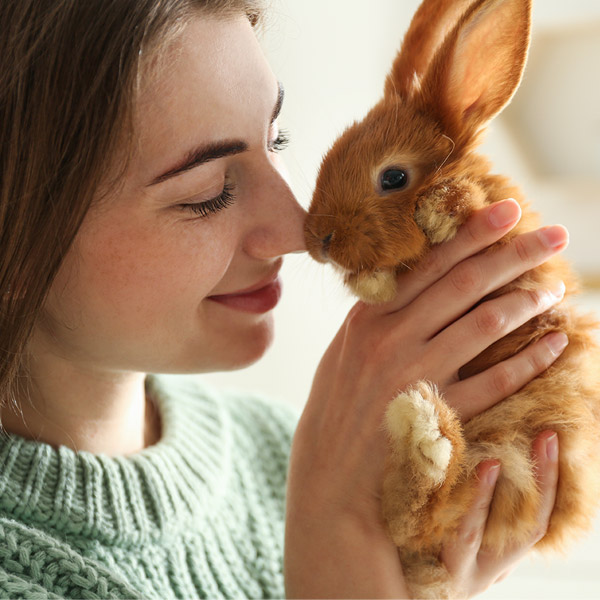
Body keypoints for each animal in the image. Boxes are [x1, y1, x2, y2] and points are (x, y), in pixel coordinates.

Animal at [308, 0, 600, 596]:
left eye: (393, 176)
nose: (318, 239)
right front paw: (373, 281)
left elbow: (463, 202)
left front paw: (438, 211)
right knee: (414, 514)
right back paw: (424, 431)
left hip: (513, 459)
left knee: (423, 512)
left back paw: (424, 432)